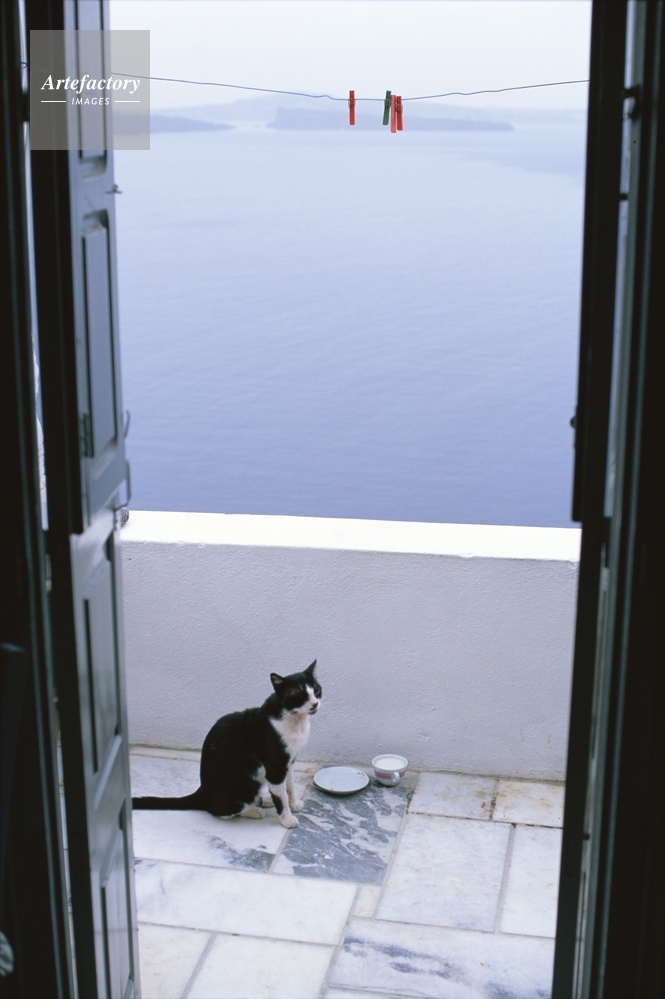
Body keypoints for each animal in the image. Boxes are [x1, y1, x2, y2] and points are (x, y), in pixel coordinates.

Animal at [131, 660, 321, 829]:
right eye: (299, 695)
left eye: (317, 690)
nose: (315, 704)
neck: (294, 719)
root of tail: (202, 791)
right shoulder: (275, 765)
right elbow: (281, 795)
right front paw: (287, 819)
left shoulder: (289, 761)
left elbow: (289, 786)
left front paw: (294, 804)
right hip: (243, 784)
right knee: (221, 811)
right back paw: (254, 810)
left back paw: (263, 800)